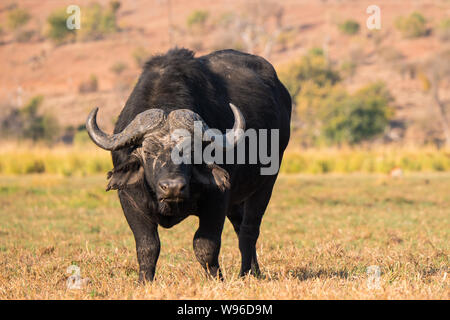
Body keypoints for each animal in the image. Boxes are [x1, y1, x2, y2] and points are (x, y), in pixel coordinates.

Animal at [85, 48, 292, 282]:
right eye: (148, 151)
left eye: (190, 151)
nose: (173, 187)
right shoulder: (130, 200)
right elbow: (147, 246)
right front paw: (144, 281)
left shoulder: (218, 199)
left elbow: (205, 246)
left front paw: (216, 279)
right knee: (240, 225)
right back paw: (253, 272)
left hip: (266, 184)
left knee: (249, 230)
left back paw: (247, 273)